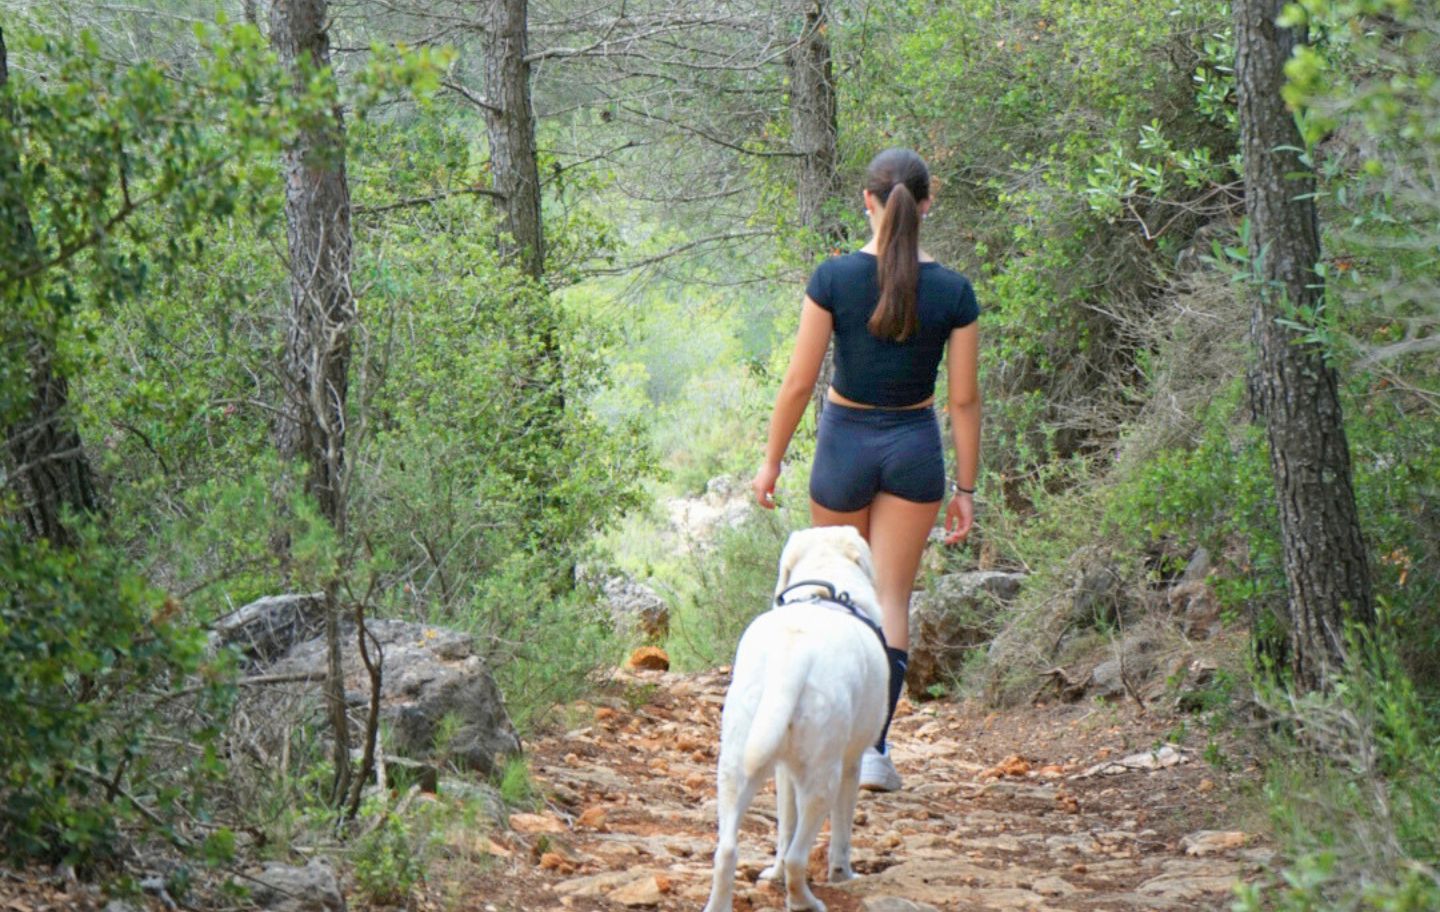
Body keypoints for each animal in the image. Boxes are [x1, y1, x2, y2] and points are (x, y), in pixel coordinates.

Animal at [699, 521, 887, 910]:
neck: (825, 585)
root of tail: (793, 651)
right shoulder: (852, 764)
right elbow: (842, 833)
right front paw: (844, 874)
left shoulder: (784, 773)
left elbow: (784, 829)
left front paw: (772, 872)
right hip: (823, 778)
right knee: (798, 858)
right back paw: (806, 902)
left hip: (736, 766)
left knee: (727, 850)